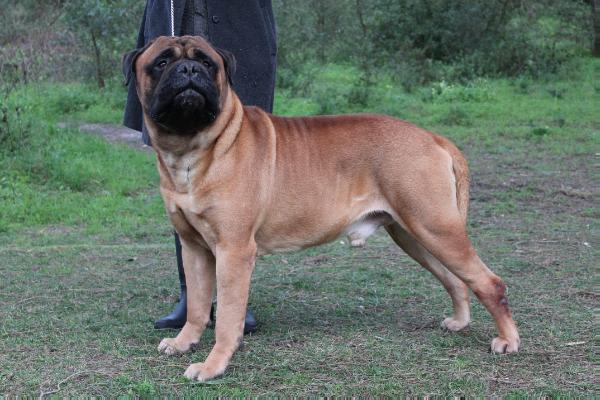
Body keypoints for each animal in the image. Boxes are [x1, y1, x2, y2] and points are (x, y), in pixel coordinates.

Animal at [123, 36, 520, 382]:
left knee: (490, 283)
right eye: (161, 62)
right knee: (456, 280)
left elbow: (226, 318)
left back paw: (507, 341)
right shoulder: (193, 247)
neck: (193, 149)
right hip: (415, 235)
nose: (189, 70)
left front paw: (212, 365)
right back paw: (460, 322)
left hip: (435, 227)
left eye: (207, 62)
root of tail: (434, 138)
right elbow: (196, 305)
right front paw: (183, 343)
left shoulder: (233, 251)